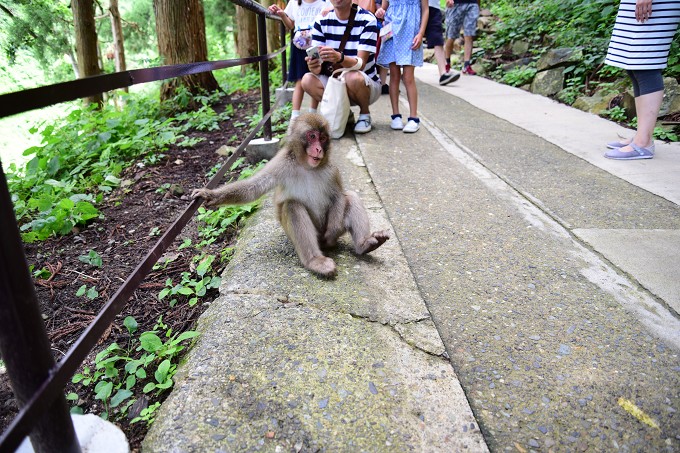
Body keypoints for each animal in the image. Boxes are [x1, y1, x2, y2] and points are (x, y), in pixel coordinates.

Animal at [194, 113, 390, 276]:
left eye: (323, 138)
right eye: (312, 136)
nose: (318, 149)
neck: (307, 167)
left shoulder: (332, 170)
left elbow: (338, 196)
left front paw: (333, 231)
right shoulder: (281, 163)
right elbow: (253, 188)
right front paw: (211, 196)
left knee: (351, 197)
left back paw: (364, 244)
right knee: (292, 206)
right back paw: (314, 261)